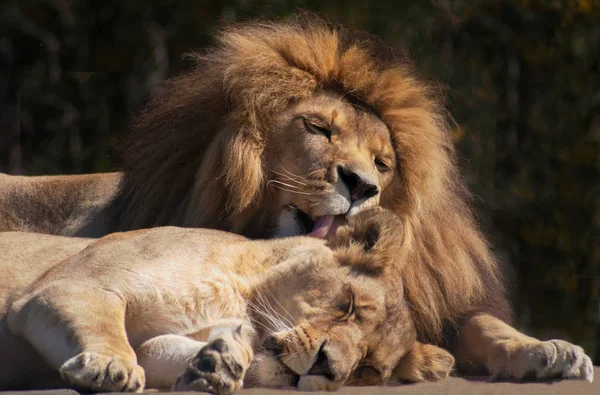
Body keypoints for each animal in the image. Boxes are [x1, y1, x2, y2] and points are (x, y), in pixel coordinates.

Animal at [0, 210, 450, 392]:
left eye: (367, 369)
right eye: (349, 305)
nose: (328, 367)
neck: (240, 295)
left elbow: (156, 347)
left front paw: (215, 364)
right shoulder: (72, 285)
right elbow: (106, 330)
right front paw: (111, 367)